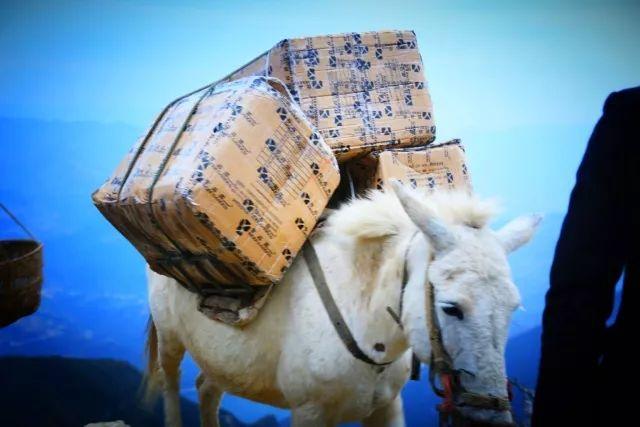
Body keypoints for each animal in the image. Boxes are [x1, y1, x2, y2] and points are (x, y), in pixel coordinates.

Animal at [145, 185, 540, 427]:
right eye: (451, 307)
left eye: (512, 309)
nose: (490, 417)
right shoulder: (308, 412)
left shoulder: (387, 407)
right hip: (169, 338)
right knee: (171, 381)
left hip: (220, 359)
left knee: (206, 388)